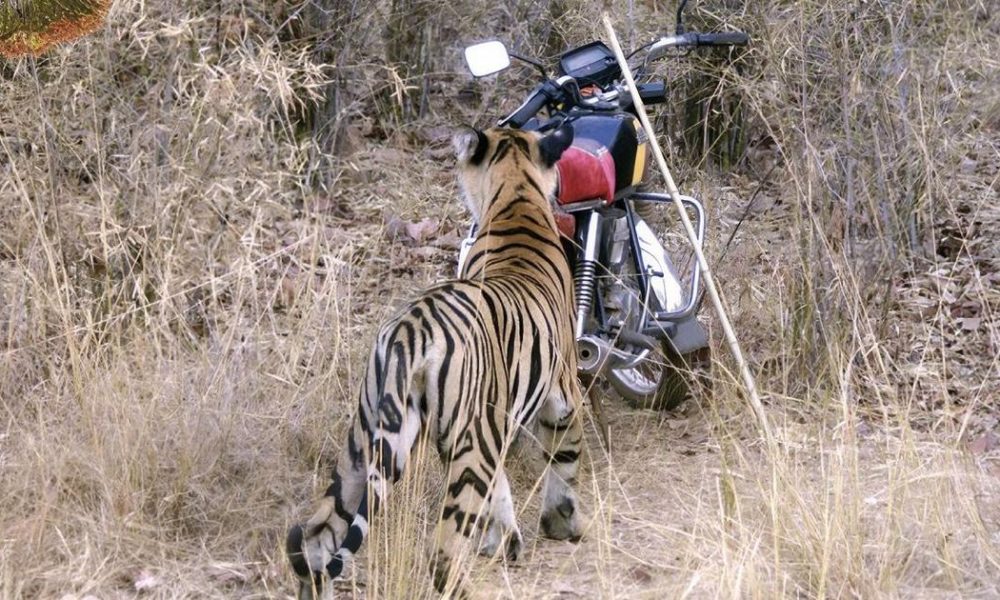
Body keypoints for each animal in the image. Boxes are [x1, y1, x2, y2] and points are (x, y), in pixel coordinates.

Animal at [285, 124, 584, 599]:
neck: (516, 194)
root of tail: (409, 330)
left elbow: (501, 490)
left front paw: (505, 542)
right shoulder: (562, 394)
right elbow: (564, 464)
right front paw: (562, 526)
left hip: (365, 442)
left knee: (316, 537)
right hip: (466, 446)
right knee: (441, 553)